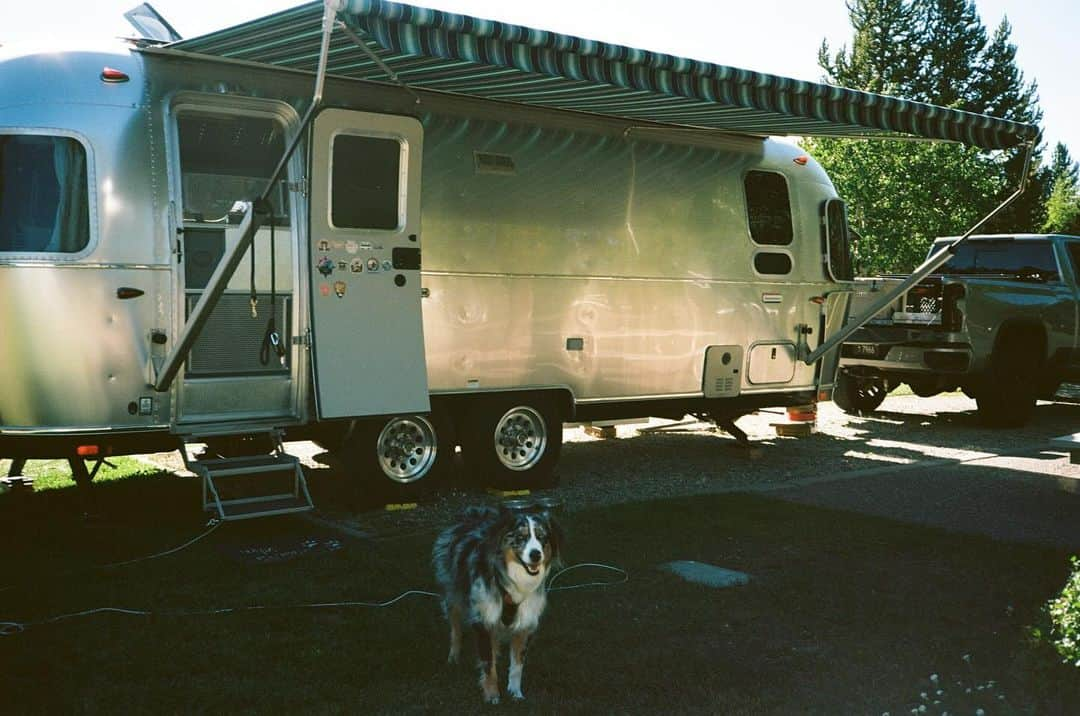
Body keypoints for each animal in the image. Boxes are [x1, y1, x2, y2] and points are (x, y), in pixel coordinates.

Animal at [432, 507, 565, 704]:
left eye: (542, 537)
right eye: (520, 537)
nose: (536, 554)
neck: (514, 577)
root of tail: (474, 515)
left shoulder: (525, 623)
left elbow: (517, 665)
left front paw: (515, 693)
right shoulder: (483, 620)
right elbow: (488, 663)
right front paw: (492, 696)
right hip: (452, 594)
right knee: (455, 629)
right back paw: (453, 658)